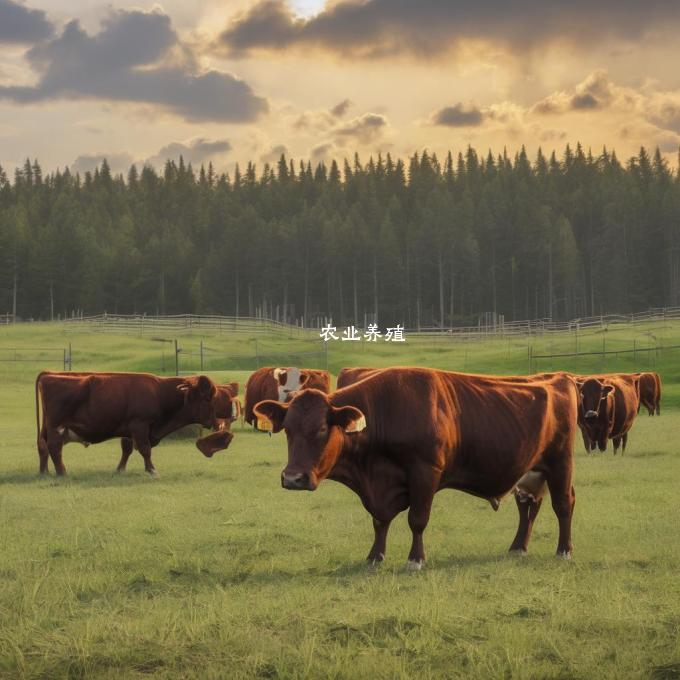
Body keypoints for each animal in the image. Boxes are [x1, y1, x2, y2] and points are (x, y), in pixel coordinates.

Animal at [35, 372, 234, 472]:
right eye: (207, 398)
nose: (220, 420)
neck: (159, 393)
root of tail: (49, 376)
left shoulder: (129, 429)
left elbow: (127, 449)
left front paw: (120, 470)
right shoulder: (139, 425)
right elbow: (145, 449)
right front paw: (152, 470)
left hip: (47, 428)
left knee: (43, 446)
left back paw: (44, 472)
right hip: (56, 427)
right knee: (54, 448)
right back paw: (62, 472)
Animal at [255, 370, 580, 564]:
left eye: (322, 429)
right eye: (287, 429)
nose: (293, 478)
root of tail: (557, 378)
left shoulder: (425, 472)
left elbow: (418, 519)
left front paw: (415, 559)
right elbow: (379, 521)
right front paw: (375, 556)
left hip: (560, 462)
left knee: (564, 504)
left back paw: (564, 550)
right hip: (532, 471)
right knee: (529, 505)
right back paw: (518, 547)